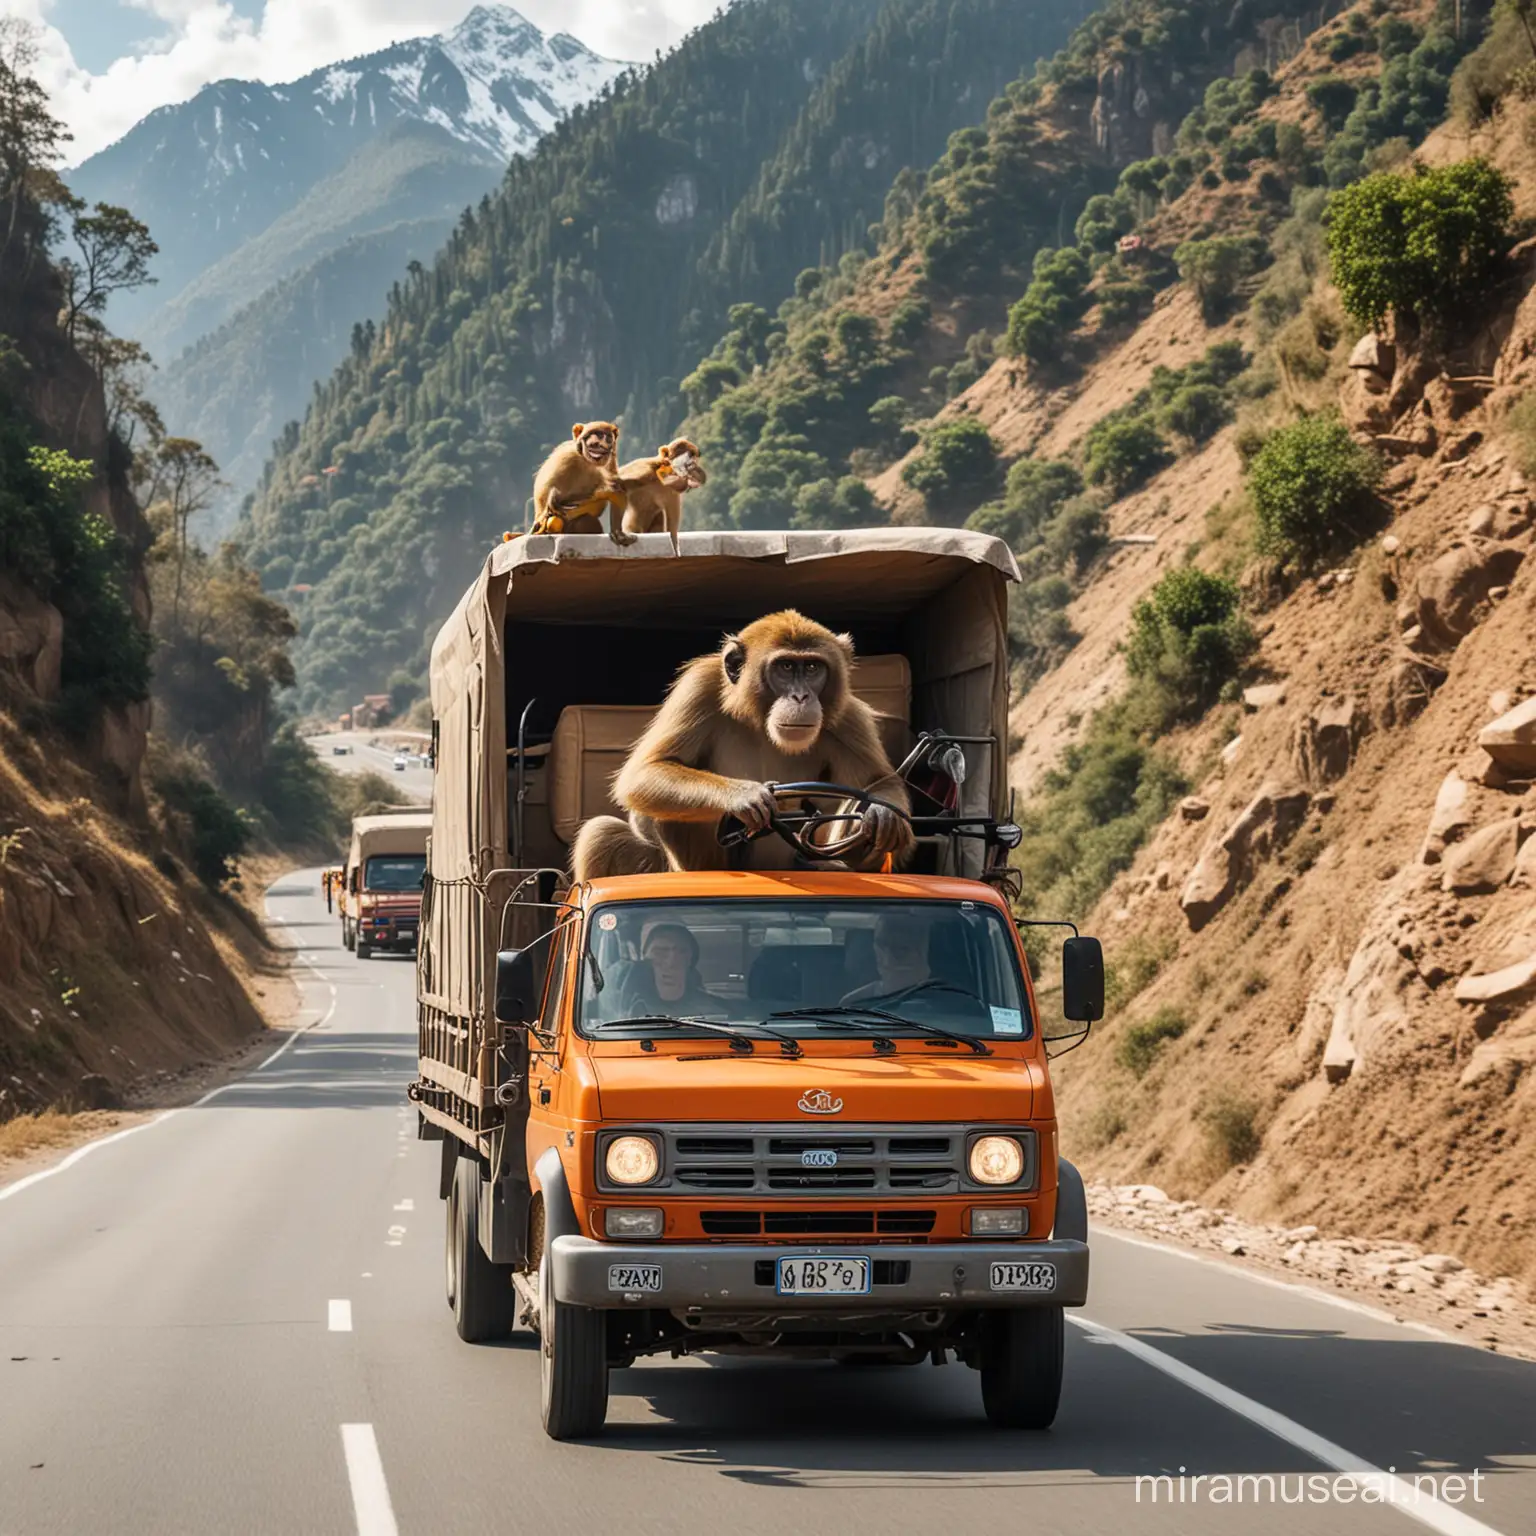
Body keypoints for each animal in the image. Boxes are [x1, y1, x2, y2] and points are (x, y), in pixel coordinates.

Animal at [574, 605, 909, 884]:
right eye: (786, 667)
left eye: (812, 668)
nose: (801, 696)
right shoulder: (699, 688)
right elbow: (647, 771)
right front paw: (744, 795)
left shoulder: (848, 718)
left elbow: (879, 782)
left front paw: (881, 815)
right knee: (603, 833)